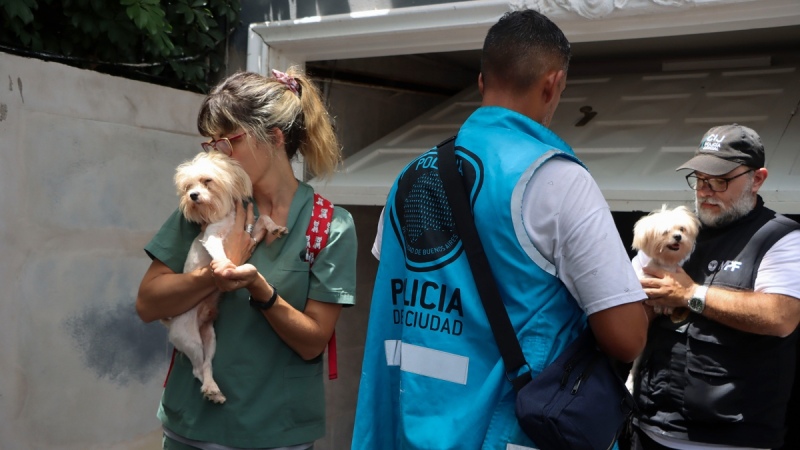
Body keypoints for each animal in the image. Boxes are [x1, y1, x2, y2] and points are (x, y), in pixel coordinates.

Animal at [161, 152, 282, 404]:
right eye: (188, 187)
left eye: (207, 181)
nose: (193, 195)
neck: (224, 220)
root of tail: (171, 323)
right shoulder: (211, 238)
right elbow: (219, 253)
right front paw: (226, 266)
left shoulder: (250, 234)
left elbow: (263, 218)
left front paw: (275, 227)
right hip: (191, 340)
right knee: (197, 369)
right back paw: (210, 389)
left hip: (210, 338)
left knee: (207, 366)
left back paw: (213, 388)